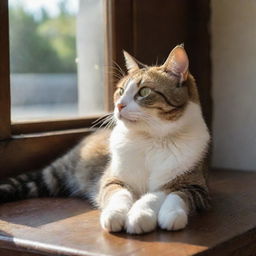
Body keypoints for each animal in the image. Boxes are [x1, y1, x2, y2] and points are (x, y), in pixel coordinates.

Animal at [0, 44, 210, 234]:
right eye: (121, 91)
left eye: (144, 92)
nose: (119, 105)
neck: (151, 139)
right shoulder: (112, 178)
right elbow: (119, 194)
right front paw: (116, 215)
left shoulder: (197, 186)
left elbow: (166, 194)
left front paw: (150, 214)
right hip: (56, 175)